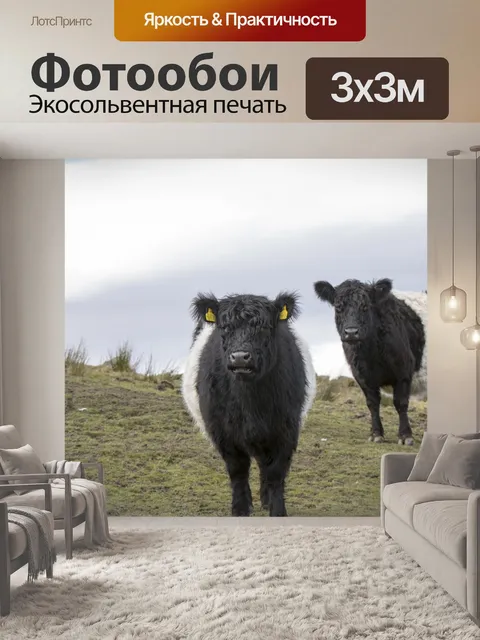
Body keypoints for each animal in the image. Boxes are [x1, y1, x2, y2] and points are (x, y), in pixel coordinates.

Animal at [181, 292, 317, 517]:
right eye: (225, 327)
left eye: (264, 327)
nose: (240, 357)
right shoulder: (223, 432)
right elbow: (238, 470)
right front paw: (240, 509)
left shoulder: (286, 429)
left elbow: (276, 472)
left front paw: (277, 511)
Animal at [313, 278, 426, 446]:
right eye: (338, 307)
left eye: (365, 307)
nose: (351, 332)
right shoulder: (362, 376)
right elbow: (372, 403)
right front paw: (376, 434)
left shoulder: (403, 372)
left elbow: (401, 403)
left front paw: (405, 436)